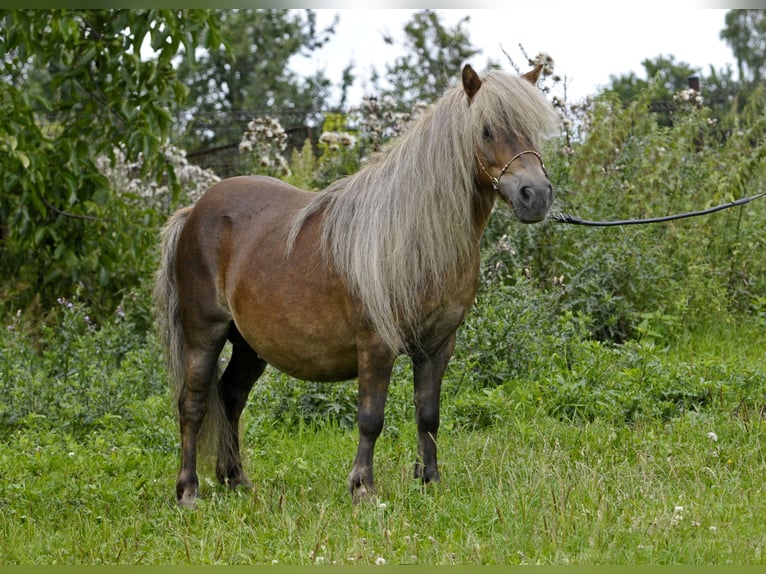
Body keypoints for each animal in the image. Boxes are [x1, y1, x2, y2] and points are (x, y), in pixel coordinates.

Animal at [154, 65, 560, 508]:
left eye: (532, 129)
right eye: (486, 130)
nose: (536, 195)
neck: (414, 237)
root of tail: (194, 211)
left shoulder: (437, 346)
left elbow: (428, 414)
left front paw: (430, 481)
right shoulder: (376, 346)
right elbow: (371, 418)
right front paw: (363, 487)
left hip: (249, 345)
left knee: (230, 397)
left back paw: (235, 480)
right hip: (204, 334)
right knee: (193, 404)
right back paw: (188, 491)